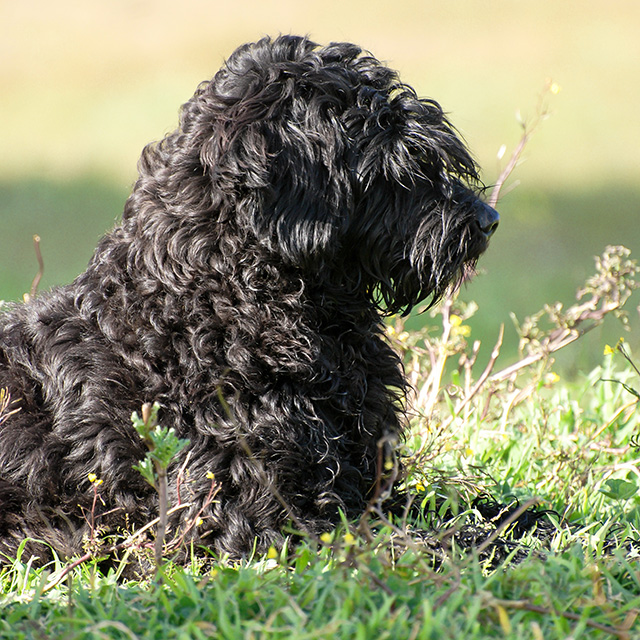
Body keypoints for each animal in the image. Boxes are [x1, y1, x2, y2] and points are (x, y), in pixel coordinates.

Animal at [0, 35, 498, 564]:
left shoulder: (367, 482)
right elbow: (428, 539)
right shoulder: (251, 520)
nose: (488, 220)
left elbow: (482, 510)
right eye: (395, 164)